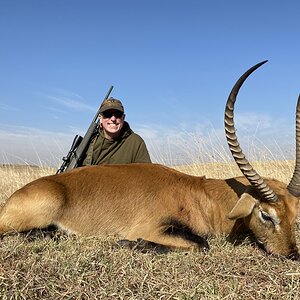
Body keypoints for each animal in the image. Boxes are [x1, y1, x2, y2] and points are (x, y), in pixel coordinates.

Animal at [0, 61, 300, 258]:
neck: (200, 194)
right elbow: (201, 244)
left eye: (295, 216)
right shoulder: (153, 228)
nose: (291, 254)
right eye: (266, 214)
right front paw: (128, 244)